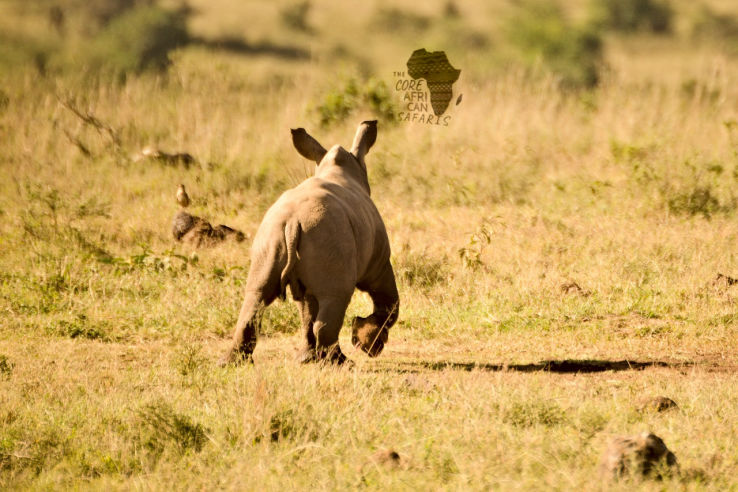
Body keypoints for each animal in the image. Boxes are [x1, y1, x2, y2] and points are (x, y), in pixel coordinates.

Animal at [221, 120, 399, 365]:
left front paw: (308, 357)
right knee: (336, 298)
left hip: (272, 236)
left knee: (256, 295)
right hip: (328, 236)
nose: (372, 349)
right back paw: (341, 363)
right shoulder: (379, 264)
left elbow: (306, 310)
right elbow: (390, 302)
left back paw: (233, 362)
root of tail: (292, 222)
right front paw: (367, 344)